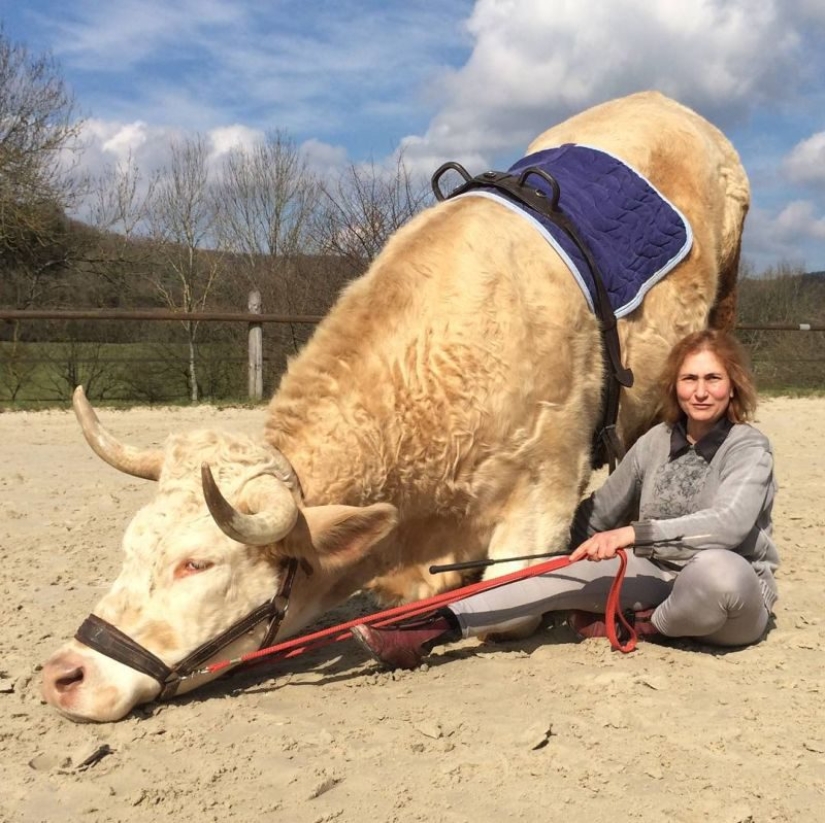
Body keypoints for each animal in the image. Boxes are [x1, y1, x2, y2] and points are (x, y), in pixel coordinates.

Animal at [41, 91, 749, 722]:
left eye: (198, 563)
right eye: (130, 545)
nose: (65, 674)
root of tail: (662, 103)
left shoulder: (543, 493)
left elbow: (505, 612)